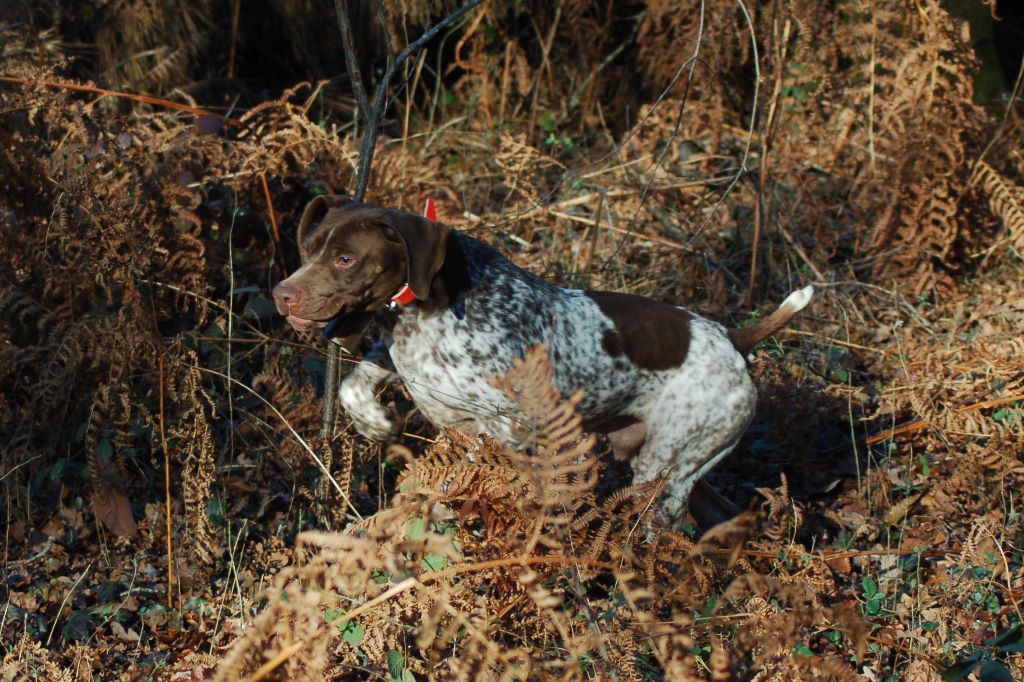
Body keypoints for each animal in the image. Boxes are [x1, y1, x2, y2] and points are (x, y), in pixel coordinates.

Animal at [272, 197, 813, 527]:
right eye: (306, 249)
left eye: (345, 258)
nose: (282, 295)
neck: (422, 315)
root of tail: (732, 337)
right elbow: (353, 385)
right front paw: (374, 422)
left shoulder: (511, 426)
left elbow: (469, 477)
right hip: (679, 464)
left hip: (663, 471)